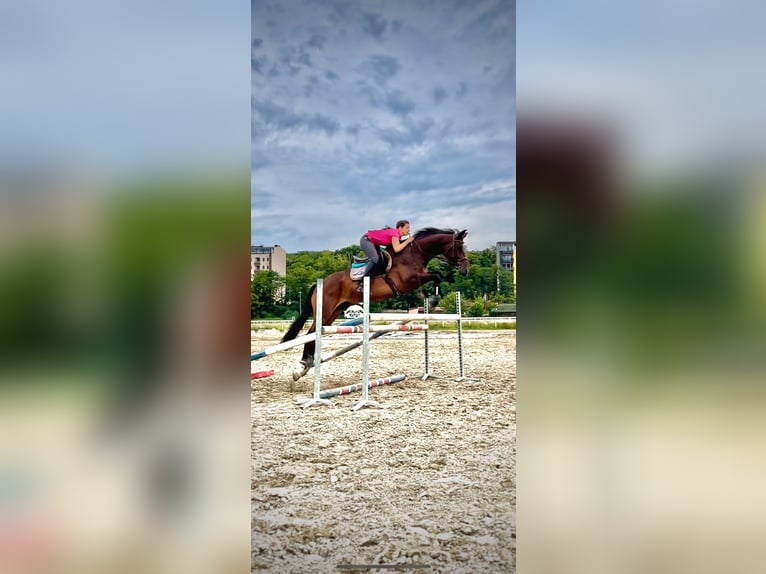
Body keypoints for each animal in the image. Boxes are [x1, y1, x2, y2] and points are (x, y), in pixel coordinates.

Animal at [281, 227, 469, 380]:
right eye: (459, 247)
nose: (465, 269)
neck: (414, 255)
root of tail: (320, 283)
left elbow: (437, 277)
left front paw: (432, 297)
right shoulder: (409, 281)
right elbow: (436, 275)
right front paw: (433, 298)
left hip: (334, 312)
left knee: (314, 332)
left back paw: (307, 365)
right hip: (326, 310)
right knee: (311, 332)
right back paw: (303, 365)